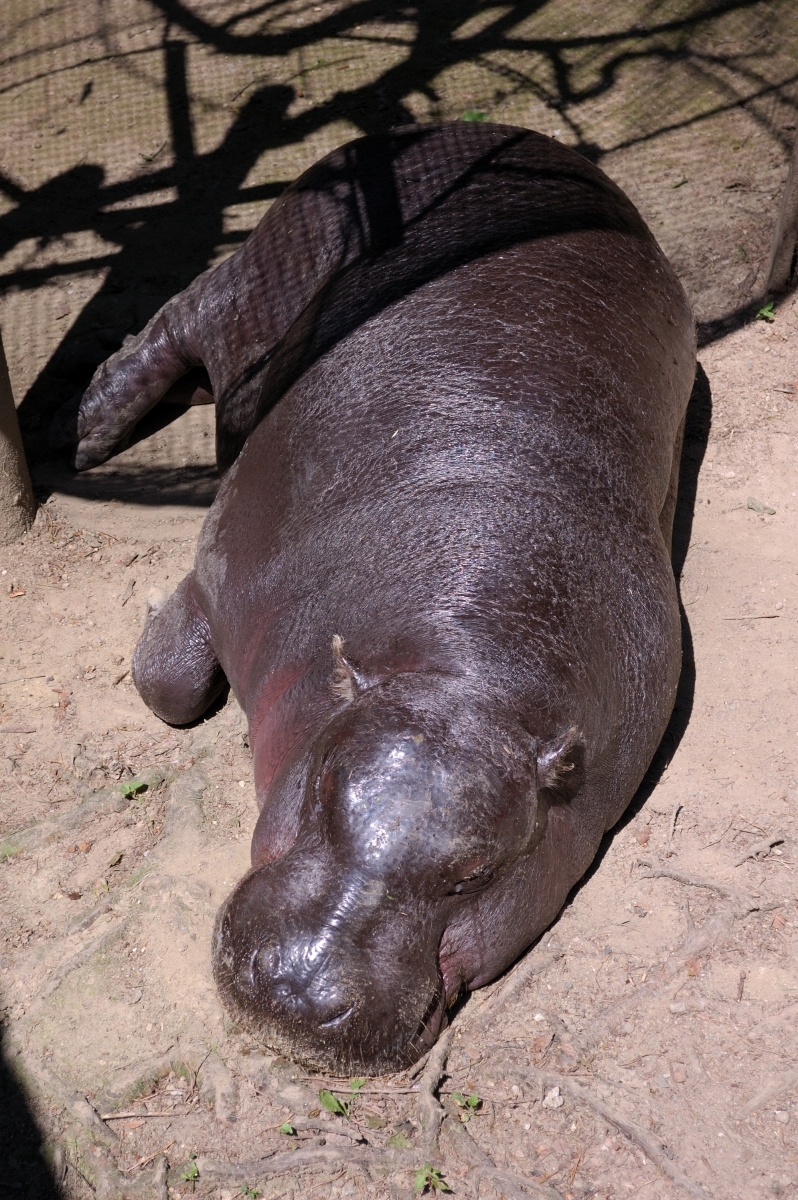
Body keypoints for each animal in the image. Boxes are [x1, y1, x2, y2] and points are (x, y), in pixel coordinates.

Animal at [52, 121, 696, 1075]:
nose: (295, 990)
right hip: (266, 272)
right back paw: (89, 432)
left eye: (476, 873)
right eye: (323, 790)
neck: (470, 674)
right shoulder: (225, 569)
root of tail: (495, 129)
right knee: (182, 317)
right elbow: (169, 681)